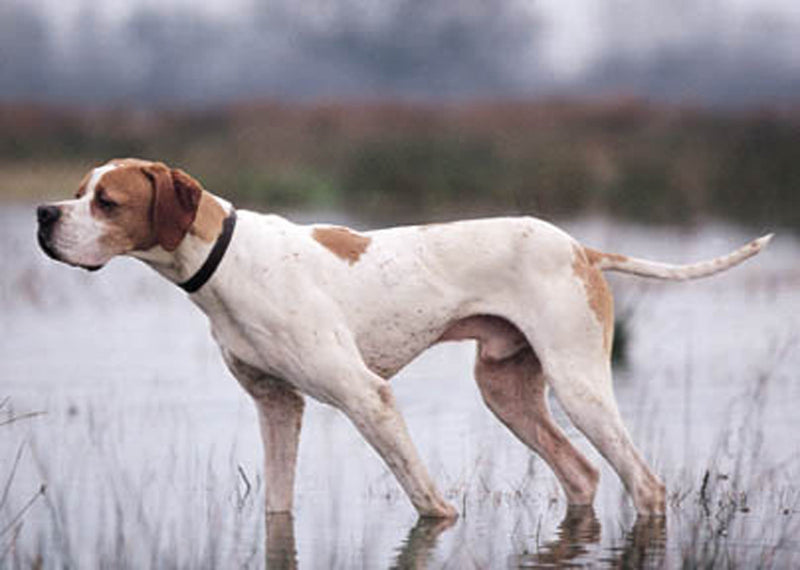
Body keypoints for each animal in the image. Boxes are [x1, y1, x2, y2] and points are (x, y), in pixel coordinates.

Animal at [34, 158, 772, 516]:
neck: (228, 260)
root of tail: (581, 248)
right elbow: (278, 505)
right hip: (507, 392)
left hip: (580, 385)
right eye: (77, 190)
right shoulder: (278, 406)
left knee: (644, 485)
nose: (43, 214)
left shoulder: (368, 398)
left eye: (107, 202)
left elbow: (429, 503)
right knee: (583, 475)